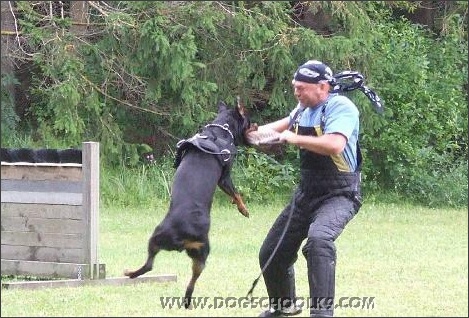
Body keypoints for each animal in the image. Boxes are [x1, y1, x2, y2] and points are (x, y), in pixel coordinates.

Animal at [122, 99, 250, 308]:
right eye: (249, 122)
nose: (256, 128)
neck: (219, 131)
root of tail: (183, 236)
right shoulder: (224, 178)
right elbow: (236, 193)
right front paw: (241, 208)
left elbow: (235, 193)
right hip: (201, 253)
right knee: (191, 279)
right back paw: (186, 299)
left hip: (156, 238)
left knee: (150, 265)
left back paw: (131, 273)